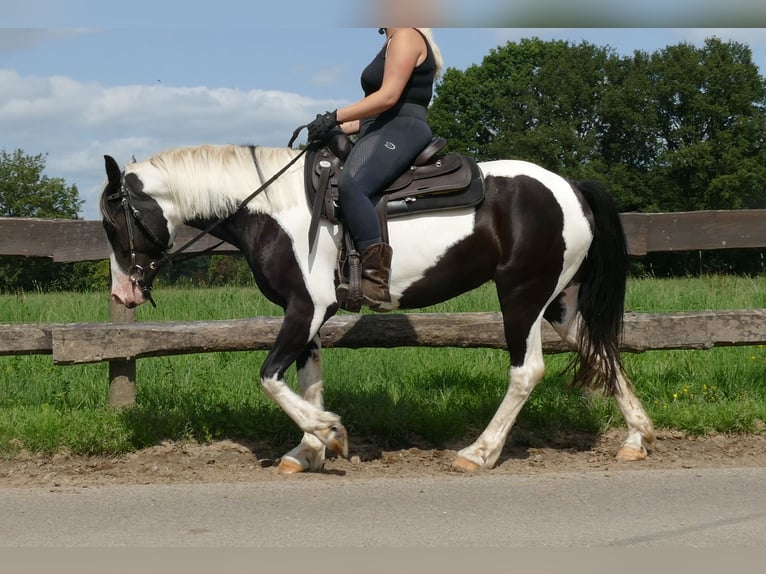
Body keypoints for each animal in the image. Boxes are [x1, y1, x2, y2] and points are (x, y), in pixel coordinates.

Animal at [99, 142, 656, 474]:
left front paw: (328, 433)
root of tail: (571, 187)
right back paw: (636, 437)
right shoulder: (310, 317)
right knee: (601, 353)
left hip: (521, 296)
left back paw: (478, 452)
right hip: (559, 302)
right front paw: (310, 449)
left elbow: (270, 377)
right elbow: (308, 380)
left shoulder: (305, 308)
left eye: (111, 221)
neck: (275, 211)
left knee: (527, 370)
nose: (123, 294)